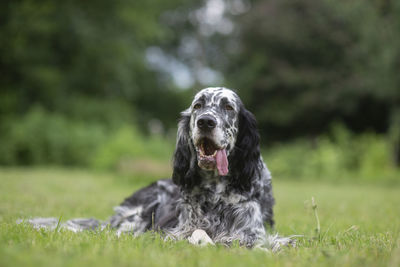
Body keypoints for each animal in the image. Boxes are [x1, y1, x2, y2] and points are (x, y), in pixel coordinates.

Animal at [25, 87, 294, 251]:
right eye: (198, 105)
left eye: (228, 107)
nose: (205, 122)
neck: (216, 192)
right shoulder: (176, 230)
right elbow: (197, 234)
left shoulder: (252, 232)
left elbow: (254, 240)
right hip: (142, 211)